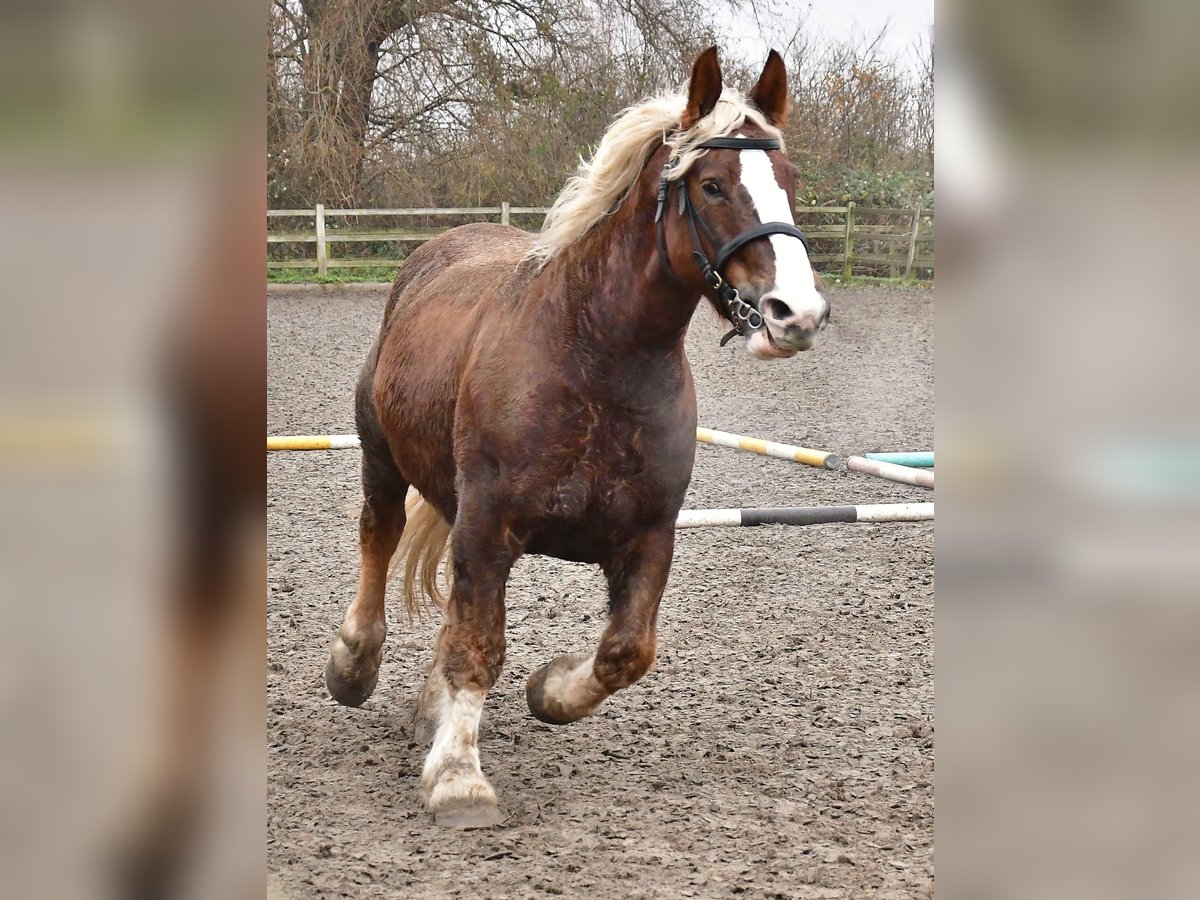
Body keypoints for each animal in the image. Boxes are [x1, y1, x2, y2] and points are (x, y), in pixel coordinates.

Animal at [324, 45, 830, 830]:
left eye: (791, 182)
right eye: (713, 185)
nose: (795, 314)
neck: (596, 360)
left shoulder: (648, 535)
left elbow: (625, 652)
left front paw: (549, 688)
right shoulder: (487, 525)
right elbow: (477, 645)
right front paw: (459, 777)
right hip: (382, 457)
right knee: (377, 541)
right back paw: (354, 663)